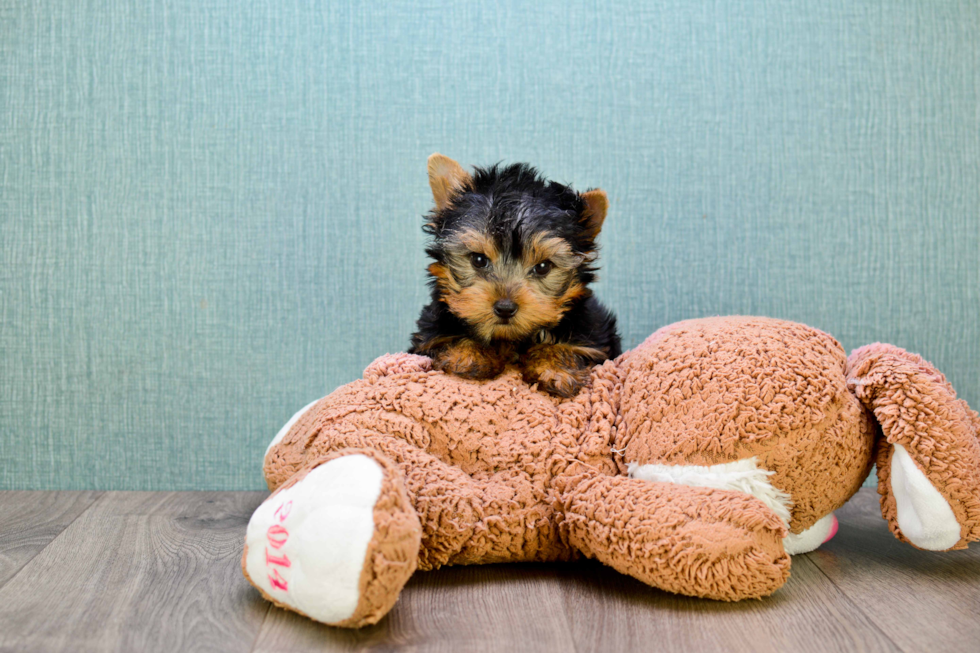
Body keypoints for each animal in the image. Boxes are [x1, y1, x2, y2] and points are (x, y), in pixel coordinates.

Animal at [406, 154, 620, 398]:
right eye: (478, 259)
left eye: (543, 267)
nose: (505, 308)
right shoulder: (428, 337)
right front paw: (470, 355)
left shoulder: (594, 337)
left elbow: (564, 347)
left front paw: (555, 369)